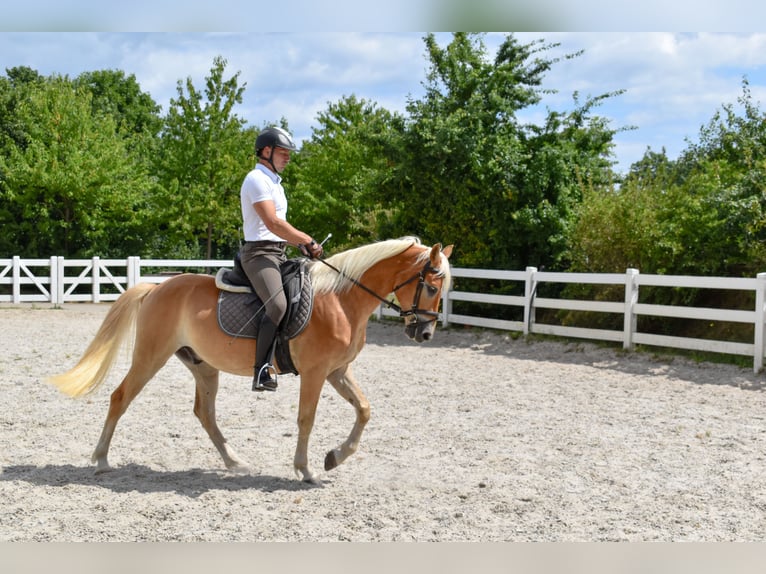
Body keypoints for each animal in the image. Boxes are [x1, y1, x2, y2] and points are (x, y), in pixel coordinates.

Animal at [47, 237, 453, 483]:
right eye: (432, 286)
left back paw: (235, 462)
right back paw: (101, 460)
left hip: (203, 366)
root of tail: (156, 287)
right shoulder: (316, 373)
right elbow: (307, 418)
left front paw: (335, 457)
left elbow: (365, 409)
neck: (340, 299)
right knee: (121, 397)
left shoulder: (338, 371)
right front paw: (306, 469)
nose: (425, 334)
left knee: (205, 414)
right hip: (150, 357)